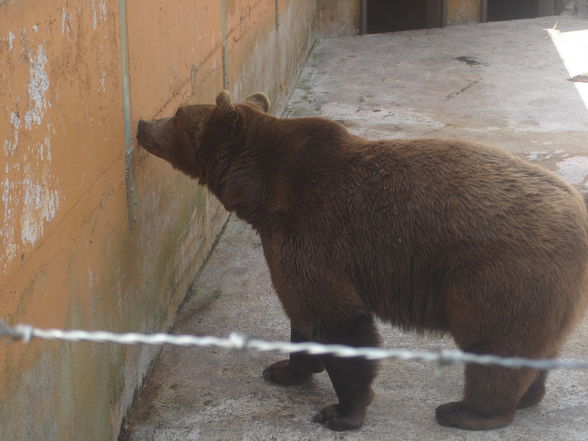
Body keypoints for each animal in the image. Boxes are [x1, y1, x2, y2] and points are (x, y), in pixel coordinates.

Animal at [136, 88, 588, 430]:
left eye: (176, 113)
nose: (142, 124)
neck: (263, 193)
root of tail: (580, 219)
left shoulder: (315, 233)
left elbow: (338, 320)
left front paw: (340, 412)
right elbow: (302, 316)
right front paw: (283, 370)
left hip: (501, 275)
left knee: (493, 345)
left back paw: (468, 412)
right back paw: (529, 395)